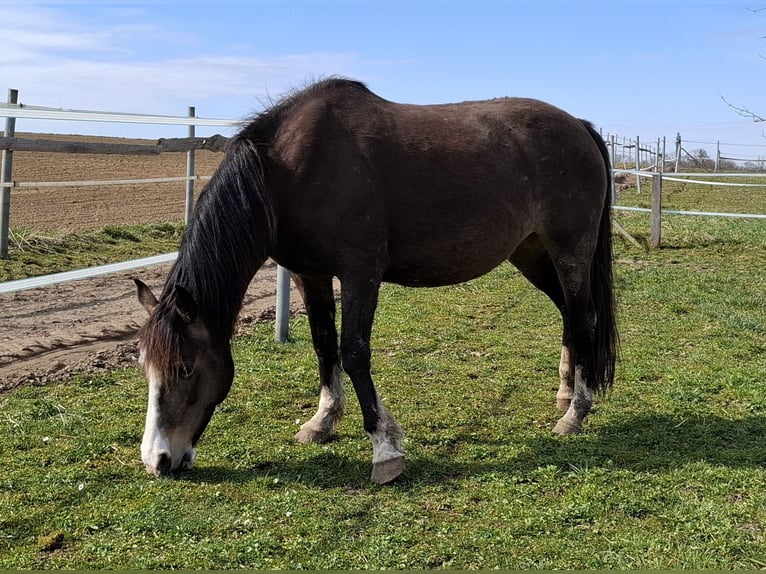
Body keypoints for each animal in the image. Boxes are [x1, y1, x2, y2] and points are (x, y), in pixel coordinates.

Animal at [133, 78, 617, 485]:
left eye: (184, 367)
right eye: (146, 368)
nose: (158, 460)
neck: (290, 171)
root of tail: (579, 126)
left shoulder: (360, 273)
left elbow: (354, 351)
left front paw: (384, 449)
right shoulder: (311, 274)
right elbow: (324, 345)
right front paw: (323, 421)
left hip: (569, 250)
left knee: (585, 319)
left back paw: (576, 412)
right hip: (531, 252)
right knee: (569, 315)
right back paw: (564, 392)